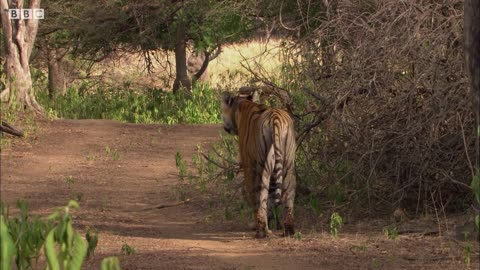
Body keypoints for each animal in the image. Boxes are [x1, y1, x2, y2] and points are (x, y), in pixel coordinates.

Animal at [221, 91, 296, 238]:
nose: (225, 127)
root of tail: (275, 117)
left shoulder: (249, 165)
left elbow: (252, 194)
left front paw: (257, 222)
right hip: (288, 164)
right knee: (288, 194)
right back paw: (289, 229)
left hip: (263, 165)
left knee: (262, 194)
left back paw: (262, 230)